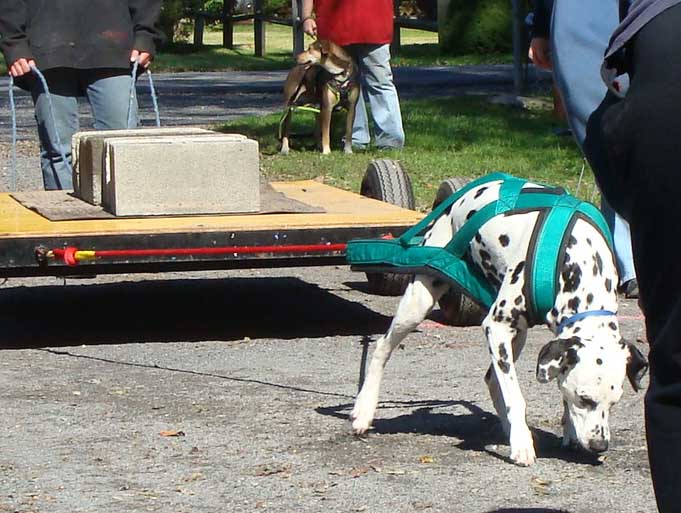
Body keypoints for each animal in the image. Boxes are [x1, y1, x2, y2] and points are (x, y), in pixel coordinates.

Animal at [350, 175, 648, 464]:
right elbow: (516, 397)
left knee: (493, 380)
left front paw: (567, 431)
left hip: (517, 335)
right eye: (585, 399)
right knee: (382, 347)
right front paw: (523, 446)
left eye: (614, 403)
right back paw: (363, 410)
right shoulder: (497, 326)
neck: (582, 261)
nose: (600, 445)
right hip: (419, 301)